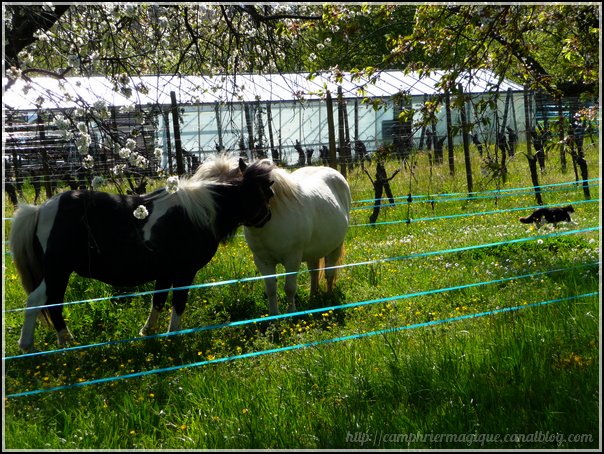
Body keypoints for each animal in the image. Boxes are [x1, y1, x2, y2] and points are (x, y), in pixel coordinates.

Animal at [10, 160, 274, 352]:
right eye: (268, 193)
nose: (268, 217)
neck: (201, 211)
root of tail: (39, 209)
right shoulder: (184, 272)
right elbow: (178, 303)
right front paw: (173, 337)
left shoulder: (166, 273)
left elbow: (158, 300)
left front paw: (148, 333)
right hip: (57, 271)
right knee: (38, 301)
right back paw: (35, 345)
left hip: (58, 274)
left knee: (52, 304)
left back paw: (62, 343)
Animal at [196, 154, 352, 314]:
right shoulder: (263, 261)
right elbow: (271, 289)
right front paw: (273, 315)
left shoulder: (292, 259)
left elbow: (289, 288)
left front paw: (291, 313)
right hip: (314, 251)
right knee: (314, 272)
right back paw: (312, 297)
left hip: (336, 246)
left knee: (329, 272)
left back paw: (329, 298)